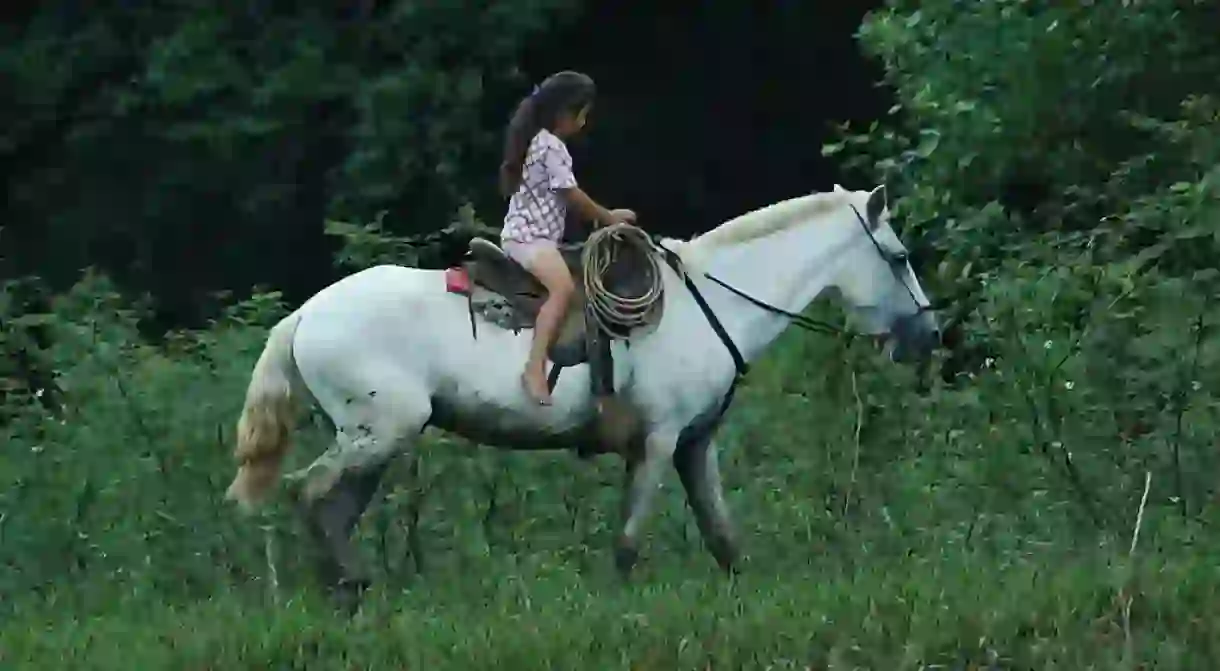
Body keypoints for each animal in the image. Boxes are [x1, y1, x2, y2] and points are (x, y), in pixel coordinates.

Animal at [224, 184, 936, 605]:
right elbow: (628, 540)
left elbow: (722, 536)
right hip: (379, 432)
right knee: (310, 495)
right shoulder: (659, 440)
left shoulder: (695, 443)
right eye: (899, 257)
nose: (929, 334)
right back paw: (343, 588)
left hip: (375, 438)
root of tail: (304, 314)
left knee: (333, 508)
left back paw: (355, 587)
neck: (712, 301)